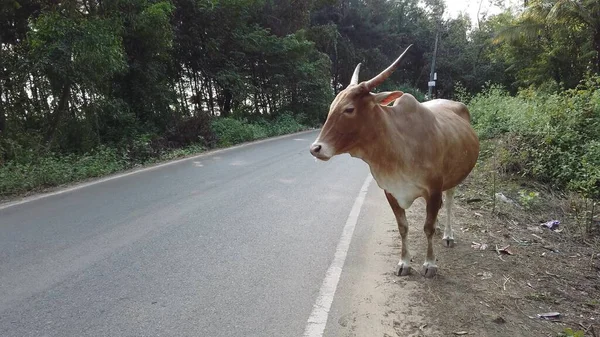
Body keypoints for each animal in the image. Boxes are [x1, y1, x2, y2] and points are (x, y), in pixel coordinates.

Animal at [310, 45, 478, 276]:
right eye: (331, 107)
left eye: (349, 109)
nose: (316, 148)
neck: (399, 147)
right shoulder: (390, 191)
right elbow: (403, 227)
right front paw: (404, 263)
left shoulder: (434, 189)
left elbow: (427, 227)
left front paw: (430, 264)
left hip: (454, 178)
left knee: (450, 202)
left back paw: (448, 235)